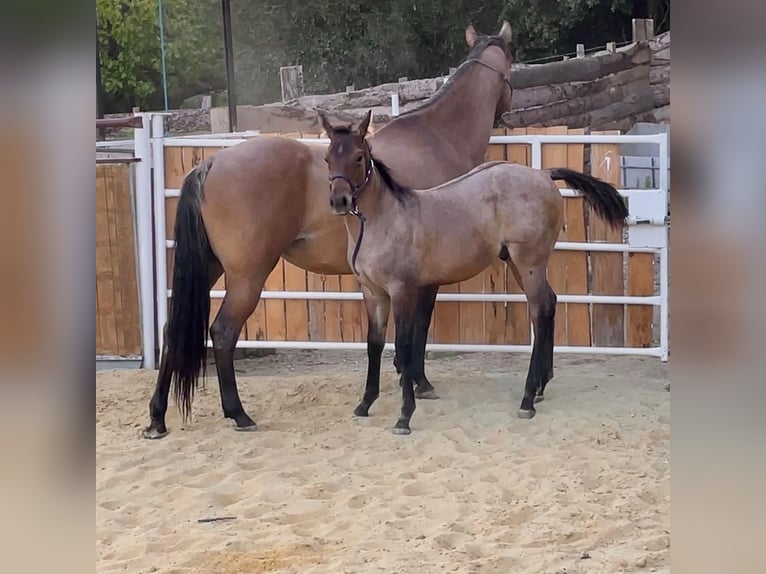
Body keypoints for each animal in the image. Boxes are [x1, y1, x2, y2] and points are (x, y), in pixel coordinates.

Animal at [144, 20, 516, 438]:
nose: (509, 110)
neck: (436, 138)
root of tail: (211, 164)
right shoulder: (425, 277)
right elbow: (419, 327)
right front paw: (420, 382)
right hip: (247, 275)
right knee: (223, 332)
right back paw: (238, 413)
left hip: (211, 267)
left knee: (172, 332)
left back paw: (157, 417)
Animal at [320, 109, 628, 436]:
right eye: (328, 158)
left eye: (358, 157)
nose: (339, 201)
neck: (384, 220)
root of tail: (543, 175)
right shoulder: (373, 292)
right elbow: (374, 344)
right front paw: (365, 404)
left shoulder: (402, 290)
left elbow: (403, 346)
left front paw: (404, 417)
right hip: (517, 264)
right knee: (550, 303)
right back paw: (541, 387)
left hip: (530, 263)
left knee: (540, 310)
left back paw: (527, 399)